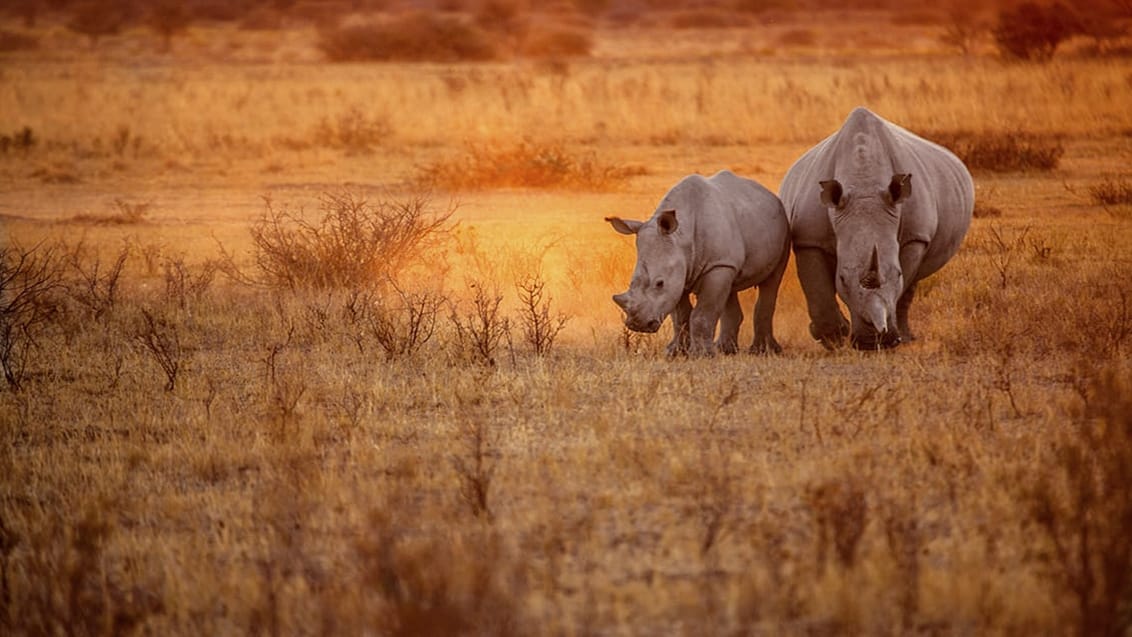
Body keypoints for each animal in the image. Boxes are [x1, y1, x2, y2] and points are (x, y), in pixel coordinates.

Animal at [611, 169, 787, 357]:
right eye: (631, 282)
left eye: (659, 283)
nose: (638, 325)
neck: (681, 237)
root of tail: (770, 194)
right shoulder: (681, 272)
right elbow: (680, 316)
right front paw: (675, 353)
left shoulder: (717, 265)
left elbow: (703, 313)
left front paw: (702, 355)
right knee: (730, 287)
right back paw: (725, 350)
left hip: (782, 226)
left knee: (771, 281)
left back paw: (762, 351)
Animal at [778, 108, 973, 350]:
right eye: (842, 278)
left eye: (897, 274)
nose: (873, 342)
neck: (864, 186)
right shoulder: (809, 238)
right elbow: (817, 287)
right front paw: (832, 338)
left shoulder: (915, 236)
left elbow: (903, 283)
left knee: (914, 281)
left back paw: (906, 338)